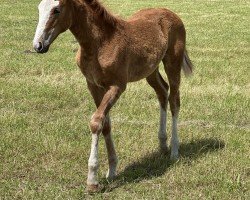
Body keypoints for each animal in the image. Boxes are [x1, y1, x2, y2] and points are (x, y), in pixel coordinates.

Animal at [33, 0, 193, 191]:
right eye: (39, 8)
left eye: (56, 10)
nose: (38, 45)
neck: (100, 44)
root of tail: (170, 13)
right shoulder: (93, 86)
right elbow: (105, 124)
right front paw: (112, 170)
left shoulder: (117, 86)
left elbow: (96, 122)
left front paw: (92, 180)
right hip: (150, 69)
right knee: (162, 92)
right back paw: (162, 144)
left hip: (172, 62)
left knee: (174, 100)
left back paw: (174, 151)